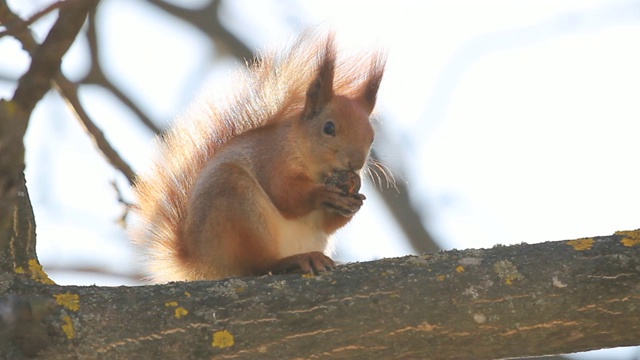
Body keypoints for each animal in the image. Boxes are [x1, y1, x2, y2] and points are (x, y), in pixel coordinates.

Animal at [130, 31, 384, 282]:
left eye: (372, 137)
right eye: (328, 128)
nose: (356, 163)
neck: (316, 168)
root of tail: (200, 264)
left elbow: (329, 224)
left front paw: (355, 197)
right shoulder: (272, 157)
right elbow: (285, 193)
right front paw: (323, 194)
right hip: (236, 202)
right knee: (256, 265)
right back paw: (295, 261)